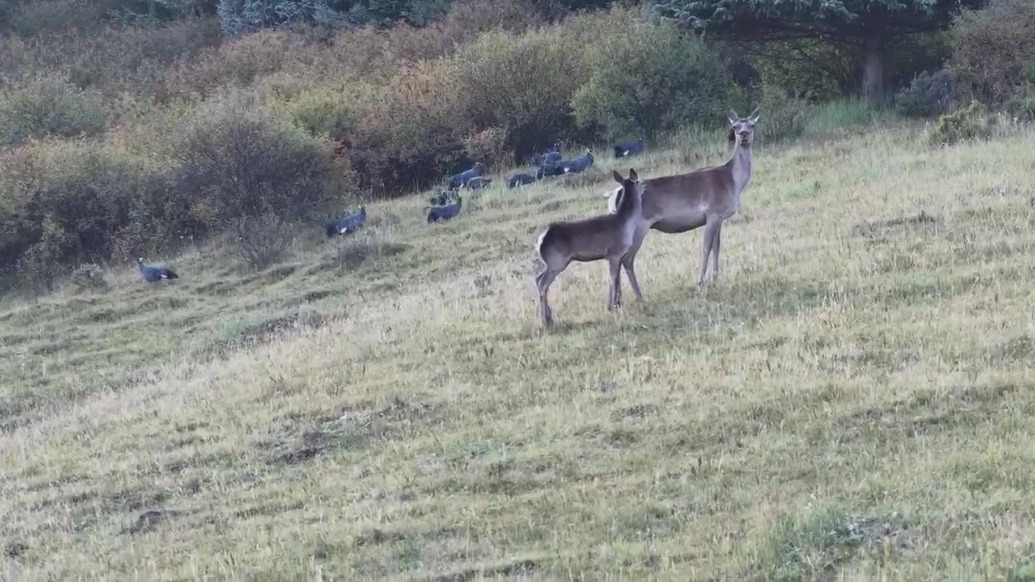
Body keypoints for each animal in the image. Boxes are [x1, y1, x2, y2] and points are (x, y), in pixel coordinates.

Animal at [534, 168, 645, 327]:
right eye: (641, 182)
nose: (646, 186)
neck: (625, 224)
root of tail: (539, 242)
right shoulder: (614, 252)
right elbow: (613, 278)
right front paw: (614, 306)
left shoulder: (612, 256)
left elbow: (613, 278)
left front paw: (611, 306)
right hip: (557, 261)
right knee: (543, 283)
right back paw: (545, 321)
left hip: (553, 263)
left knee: (538, 279)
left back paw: (549, 318)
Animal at [605, 109, 759, 300]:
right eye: (735, 126)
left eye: (752, 125)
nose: (744, 135)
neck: (733, 181)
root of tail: (614, 194)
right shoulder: (712, 213)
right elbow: (706, 247)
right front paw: (701, 281)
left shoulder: (720, 217)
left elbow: (717, 246)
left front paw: (716, 278)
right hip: (638, 227)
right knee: (626, 259)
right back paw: (639, 296)